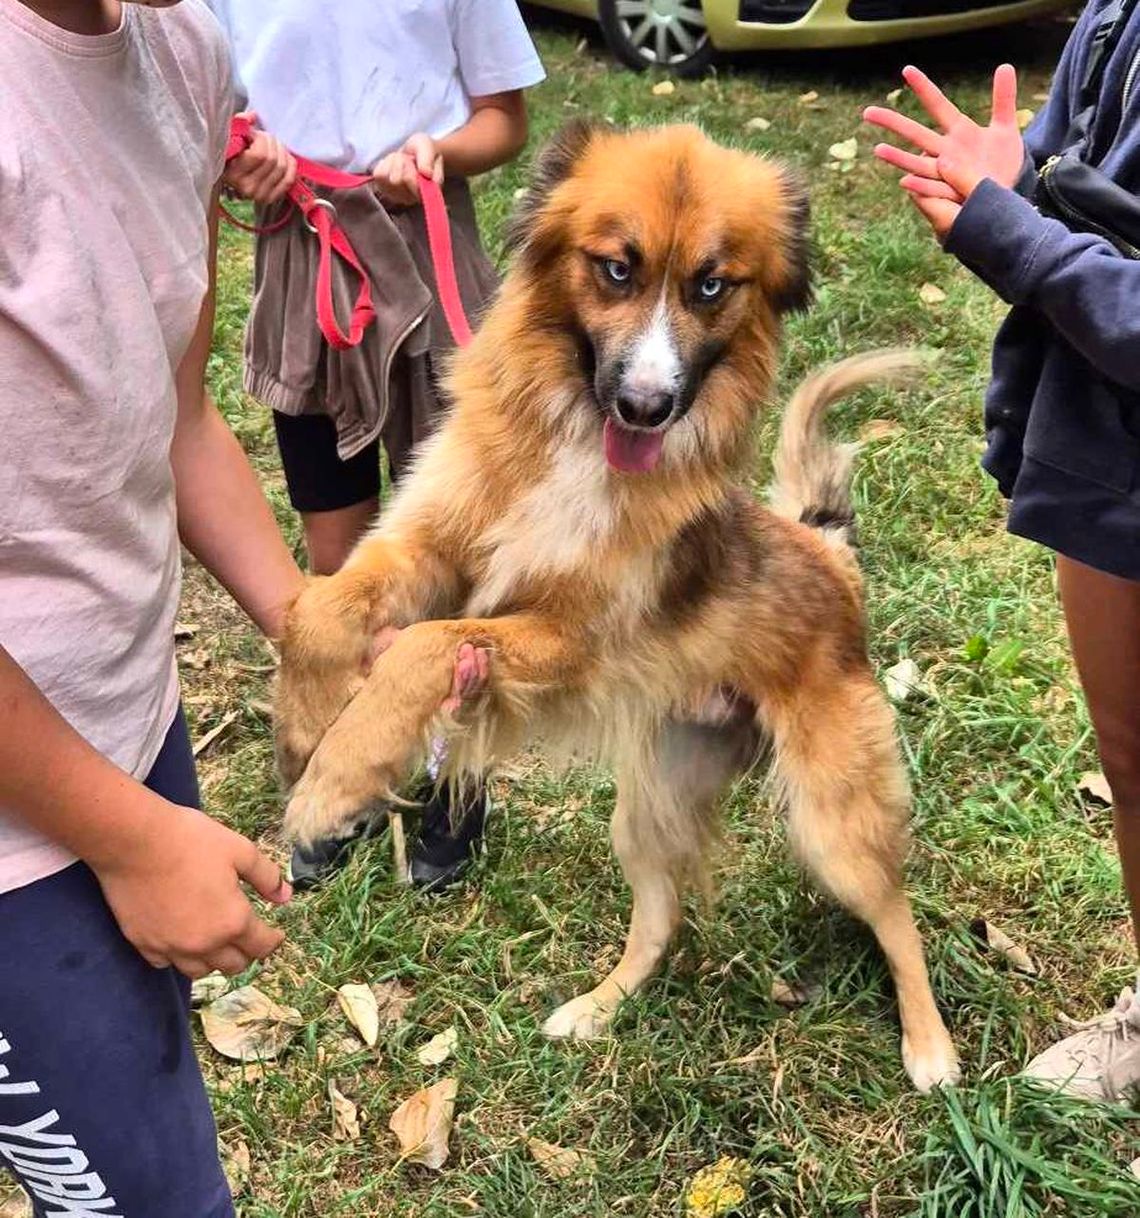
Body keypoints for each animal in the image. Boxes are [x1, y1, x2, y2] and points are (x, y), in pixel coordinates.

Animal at [276, 123, 959, 1096]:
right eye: (616, 269)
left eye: (712, 285)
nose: (646, 407)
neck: (572, 442)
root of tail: (829, 555)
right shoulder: (432, 547)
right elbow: (320, 606)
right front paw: (304, 733)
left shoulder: (574, 640)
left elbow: (424, 647)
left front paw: (334, 781)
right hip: (649, 804)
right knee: (660, 918)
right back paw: (599, 1008)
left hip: (833, 823)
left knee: (896, 914)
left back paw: (929, 1044)